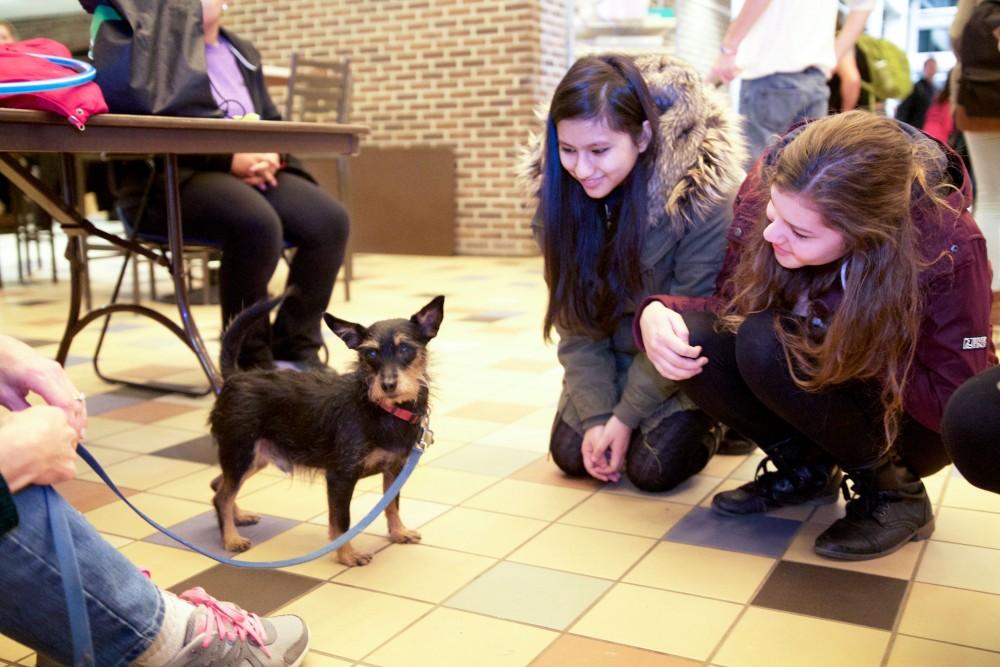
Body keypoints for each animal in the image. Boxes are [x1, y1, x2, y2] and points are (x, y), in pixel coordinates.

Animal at [209, 294, 444, 568]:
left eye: (405, 348)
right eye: (371, 353)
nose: (388, 385)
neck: (381, 409)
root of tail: (234, 377)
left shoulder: (395, 469)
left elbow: (392, 505)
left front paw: (398, 532)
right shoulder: (340, 477)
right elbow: (341, 522)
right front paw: (347, 555)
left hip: (255, 456)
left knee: (219, 485)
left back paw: (237, 518)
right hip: (241, 453)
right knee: (222, 495)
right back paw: (231, 539)